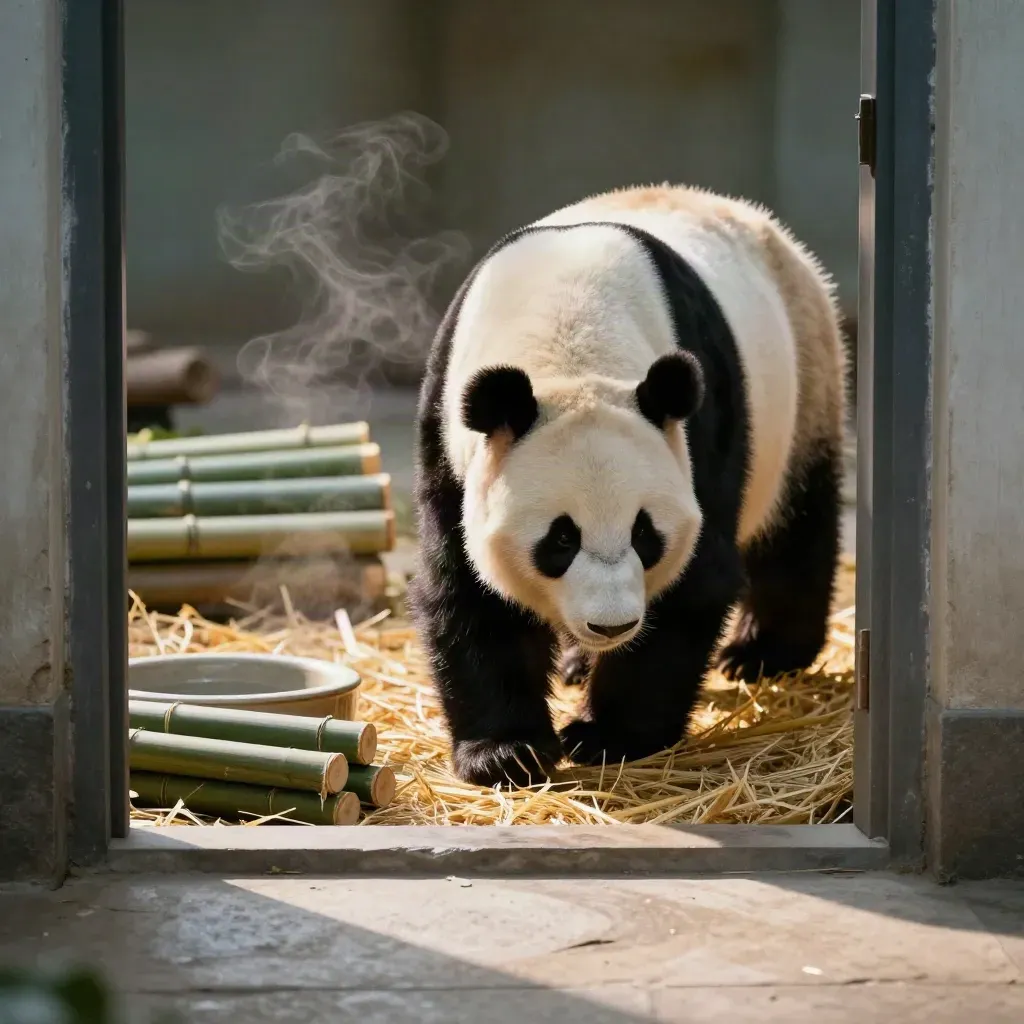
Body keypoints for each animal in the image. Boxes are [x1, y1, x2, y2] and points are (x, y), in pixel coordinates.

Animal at [410, 183, 847, 788]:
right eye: (561, 539)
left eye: (646, 534)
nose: (611, 623)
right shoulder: (450, 436)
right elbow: (470, 590)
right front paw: (506, 753)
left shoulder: (698, 430)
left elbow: (691, 587)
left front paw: (605, 737)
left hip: (806, 377)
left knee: (796, 522)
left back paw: (764, 651)